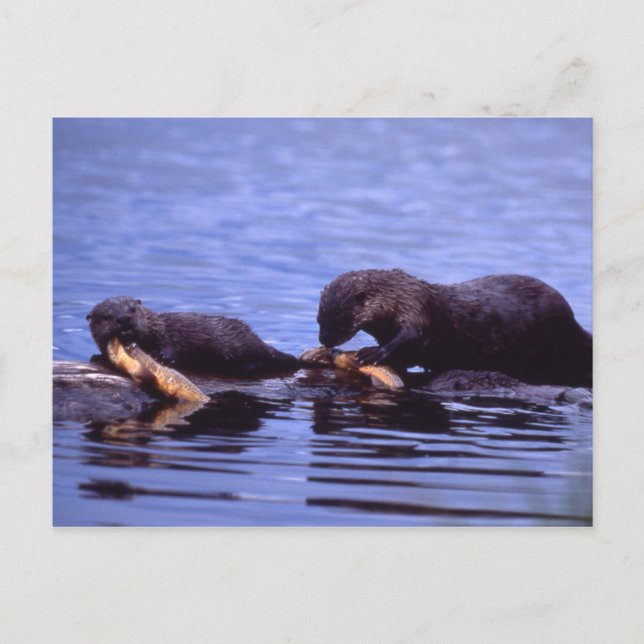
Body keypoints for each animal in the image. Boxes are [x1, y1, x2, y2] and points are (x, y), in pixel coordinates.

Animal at [87, 296, 299, 377]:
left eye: (132, 309)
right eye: (107, 316)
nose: (124, 319)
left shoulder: (163, 332)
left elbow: (169, 346)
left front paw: (161, 357)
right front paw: (97, 356)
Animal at [317, 269, 592, 387]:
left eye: (339, 320)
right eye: (319, 320)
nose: (324, 341)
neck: (397, 298)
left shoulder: (417, 309)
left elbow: (410, 336)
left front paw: (371, 353)